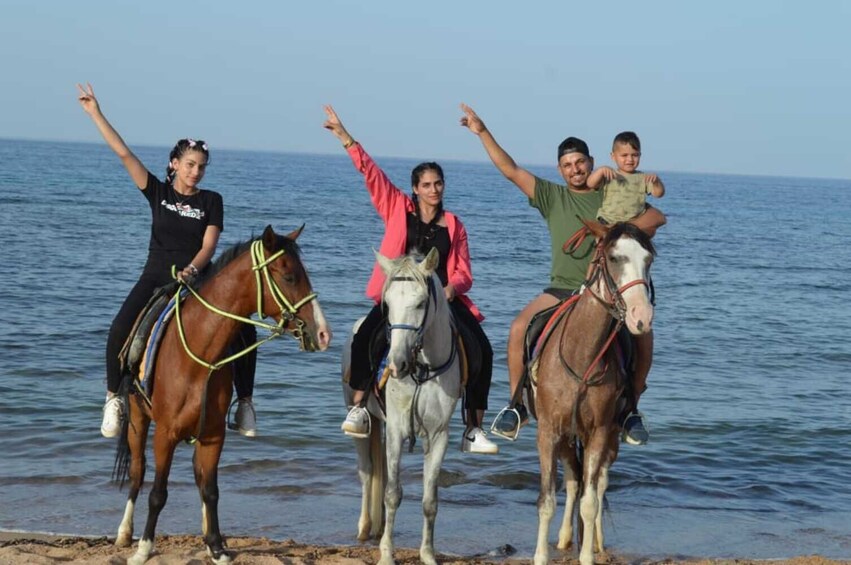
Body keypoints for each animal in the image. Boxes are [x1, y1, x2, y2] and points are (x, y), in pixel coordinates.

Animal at [110, 226, 330, 564]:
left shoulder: (213, 435)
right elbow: (158, 492)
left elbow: (210, 489)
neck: (200, 353)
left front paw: (215, 546)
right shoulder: (165, 434)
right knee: (137, 471)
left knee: (198, 478)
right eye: (290, 277)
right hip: (137, 416)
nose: (323, 333)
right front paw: (145, 548)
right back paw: (125, 533)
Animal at [342, 250, 462, 564]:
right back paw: (365, 528)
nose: (396, 365)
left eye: (421, 303)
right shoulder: (396, 430)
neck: (423, 368)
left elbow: (429, 500)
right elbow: (392, 493)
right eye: (387, 304)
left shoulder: (438, 436)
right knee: (367, 472)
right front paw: (386, 554)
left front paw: (428, 554)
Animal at [532, 220, 660, 564]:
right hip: (566, 437)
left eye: (648, 260)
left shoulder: (600, 432)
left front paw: (587, 554)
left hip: (609, 438)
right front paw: (541, 555)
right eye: (614, 258)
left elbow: (590, 502)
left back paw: (598, 541)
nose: (641, 317)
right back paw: (565, 537)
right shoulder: (549, 431)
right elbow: (548, 500)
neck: (582, 354)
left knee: (598, 485)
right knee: (573, 481)